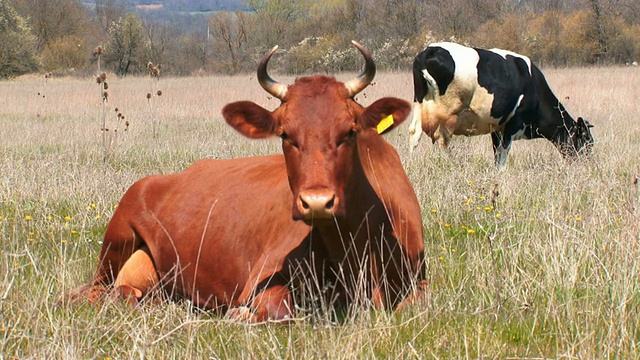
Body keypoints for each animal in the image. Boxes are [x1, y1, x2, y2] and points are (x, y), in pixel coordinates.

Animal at [69, 40, 424, 322]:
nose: (316, 202)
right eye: (286, 135)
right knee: (91, 292)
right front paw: (239, 314)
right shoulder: (263, 280)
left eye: (349, 132)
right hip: (115, 243)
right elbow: (276, 311)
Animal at [410, 41, 596, 166]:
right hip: (448, 114)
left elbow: (496, 153)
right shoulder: (511, 124)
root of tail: (430, 50)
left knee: (414, 134)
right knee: (441, 139)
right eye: (587, 142)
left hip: (419, 104)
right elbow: (502, 156)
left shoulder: (496, 127)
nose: (588, 166)